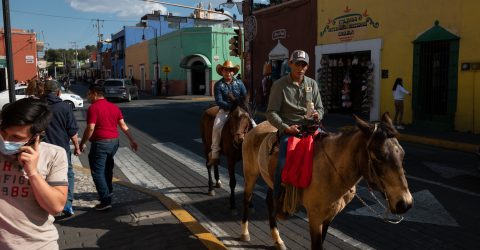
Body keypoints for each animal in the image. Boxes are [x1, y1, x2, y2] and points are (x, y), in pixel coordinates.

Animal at [242, 113, 414, 250]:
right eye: (378, 155)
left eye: (403, 153)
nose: (405, 203)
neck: (332, 171)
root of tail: (256, 127)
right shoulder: (315, 218)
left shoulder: (329, 216)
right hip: (250, 175)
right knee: (247, 199)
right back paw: (245, 233)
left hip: (272, 183)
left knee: (270, 202)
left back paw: (278, 240)